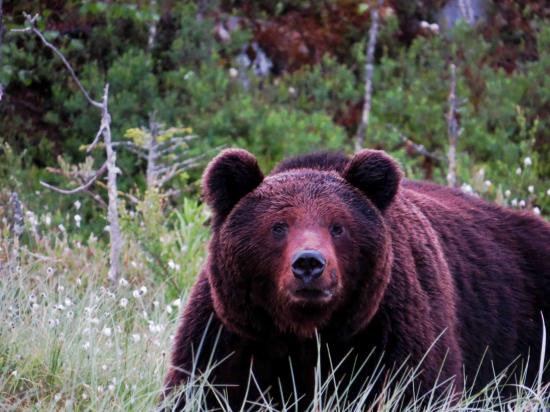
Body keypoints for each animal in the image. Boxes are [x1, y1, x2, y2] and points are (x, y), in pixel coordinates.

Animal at [164, 148, 550, 408]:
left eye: (338, 227)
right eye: (278, 226)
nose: (309, 264)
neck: (305, 333)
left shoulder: (392, 328)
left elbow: (418, 388)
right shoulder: (231, 332)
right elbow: (200, 388)